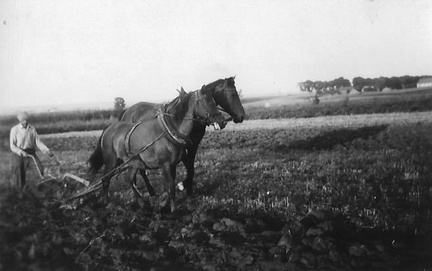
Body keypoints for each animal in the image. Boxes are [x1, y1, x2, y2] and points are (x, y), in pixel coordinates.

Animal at [87, 86, 226, 214]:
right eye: (209, 102)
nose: (223, 121)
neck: (169, 131)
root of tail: (108, 129)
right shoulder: (165, 165)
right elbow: (170, 188)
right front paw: (173, 211)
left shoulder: (173, 165)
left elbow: (170, 186)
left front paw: (163, 204)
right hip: (111, 162)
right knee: (105, 180)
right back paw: (107, 204)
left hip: (132, 163)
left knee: (130, 179)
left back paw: (142, 203)